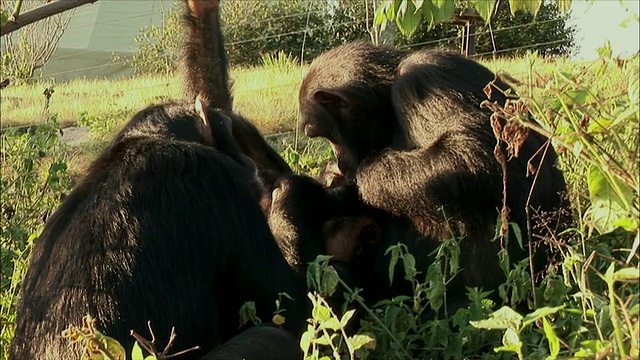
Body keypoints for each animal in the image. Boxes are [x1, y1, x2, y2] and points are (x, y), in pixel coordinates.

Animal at [9, 98, 304, 360]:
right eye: (227, 128)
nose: (246, 158)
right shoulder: (222, 182)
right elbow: (285, 304)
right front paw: (289, 194)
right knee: (273, 335)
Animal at [300, 41, 568, 306]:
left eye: (329, 136)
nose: (341, 161)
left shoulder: (424, 79)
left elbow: (476, 156)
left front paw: (357, 179)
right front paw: (331, 179)